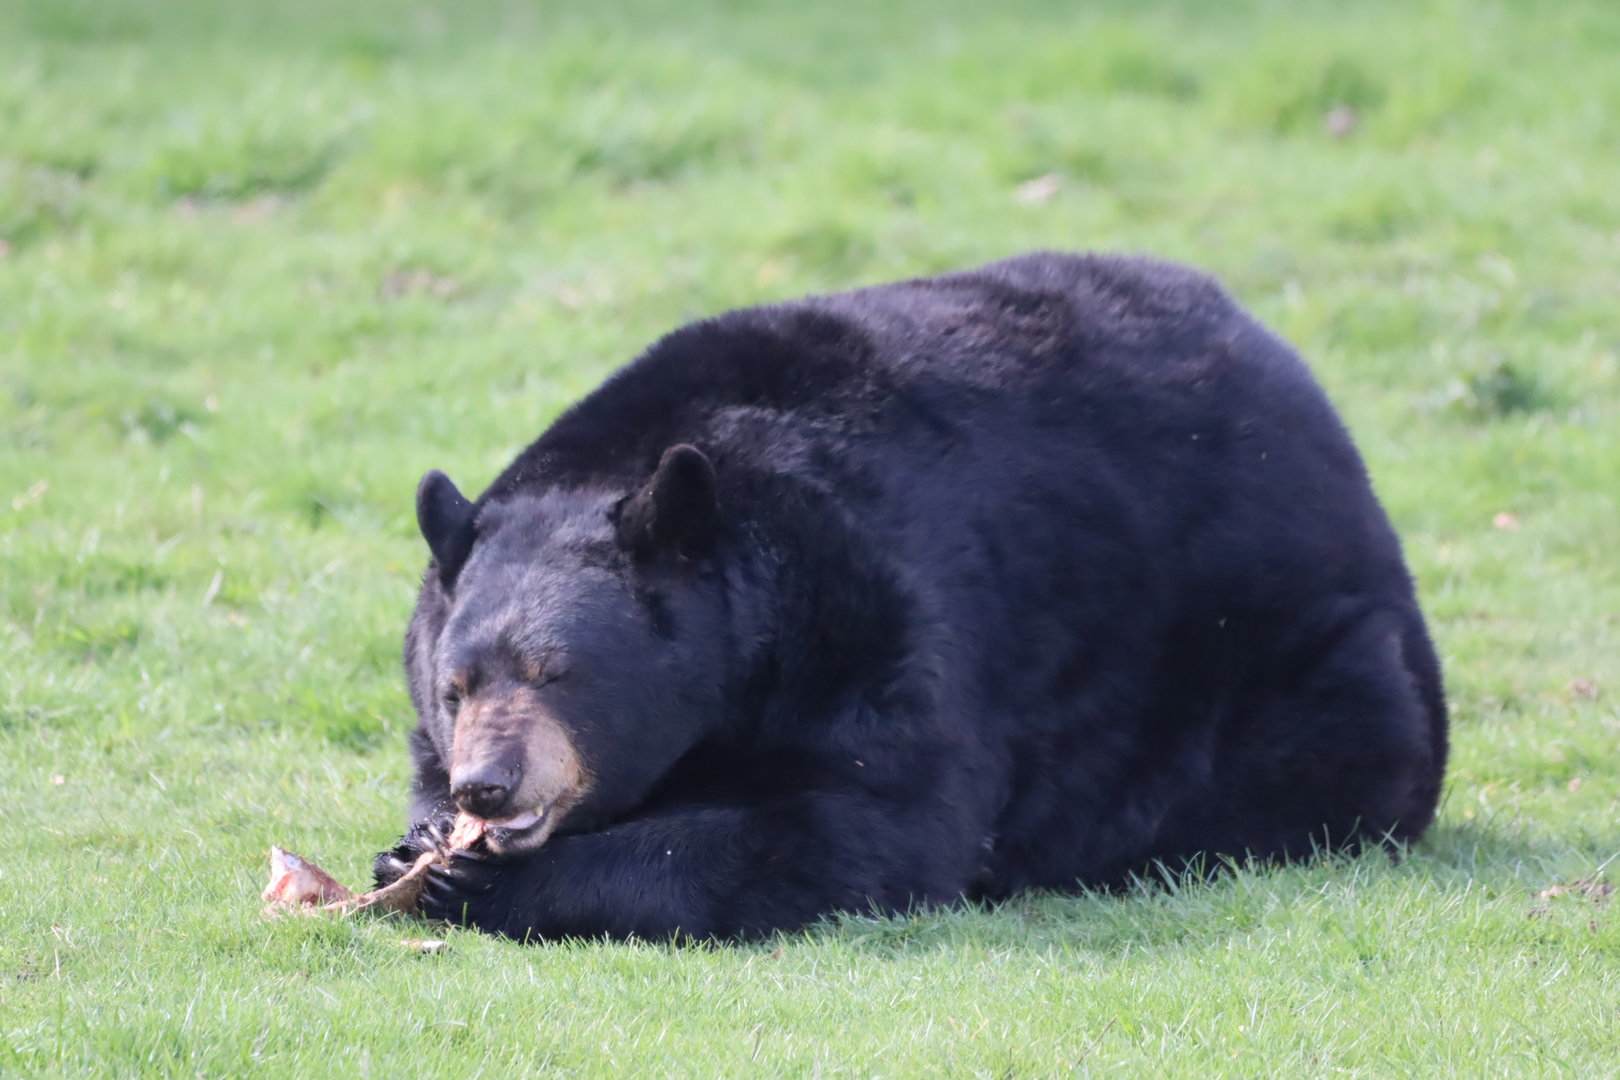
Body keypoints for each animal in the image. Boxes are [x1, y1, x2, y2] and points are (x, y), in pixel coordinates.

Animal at [373, 252, 1448, 942]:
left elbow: (861, 827)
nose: (488, 787)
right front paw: (420, 845)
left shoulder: (878, 615)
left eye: (559, 671)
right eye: (457, 688)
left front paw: (476, 880)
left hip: (1288, 657)